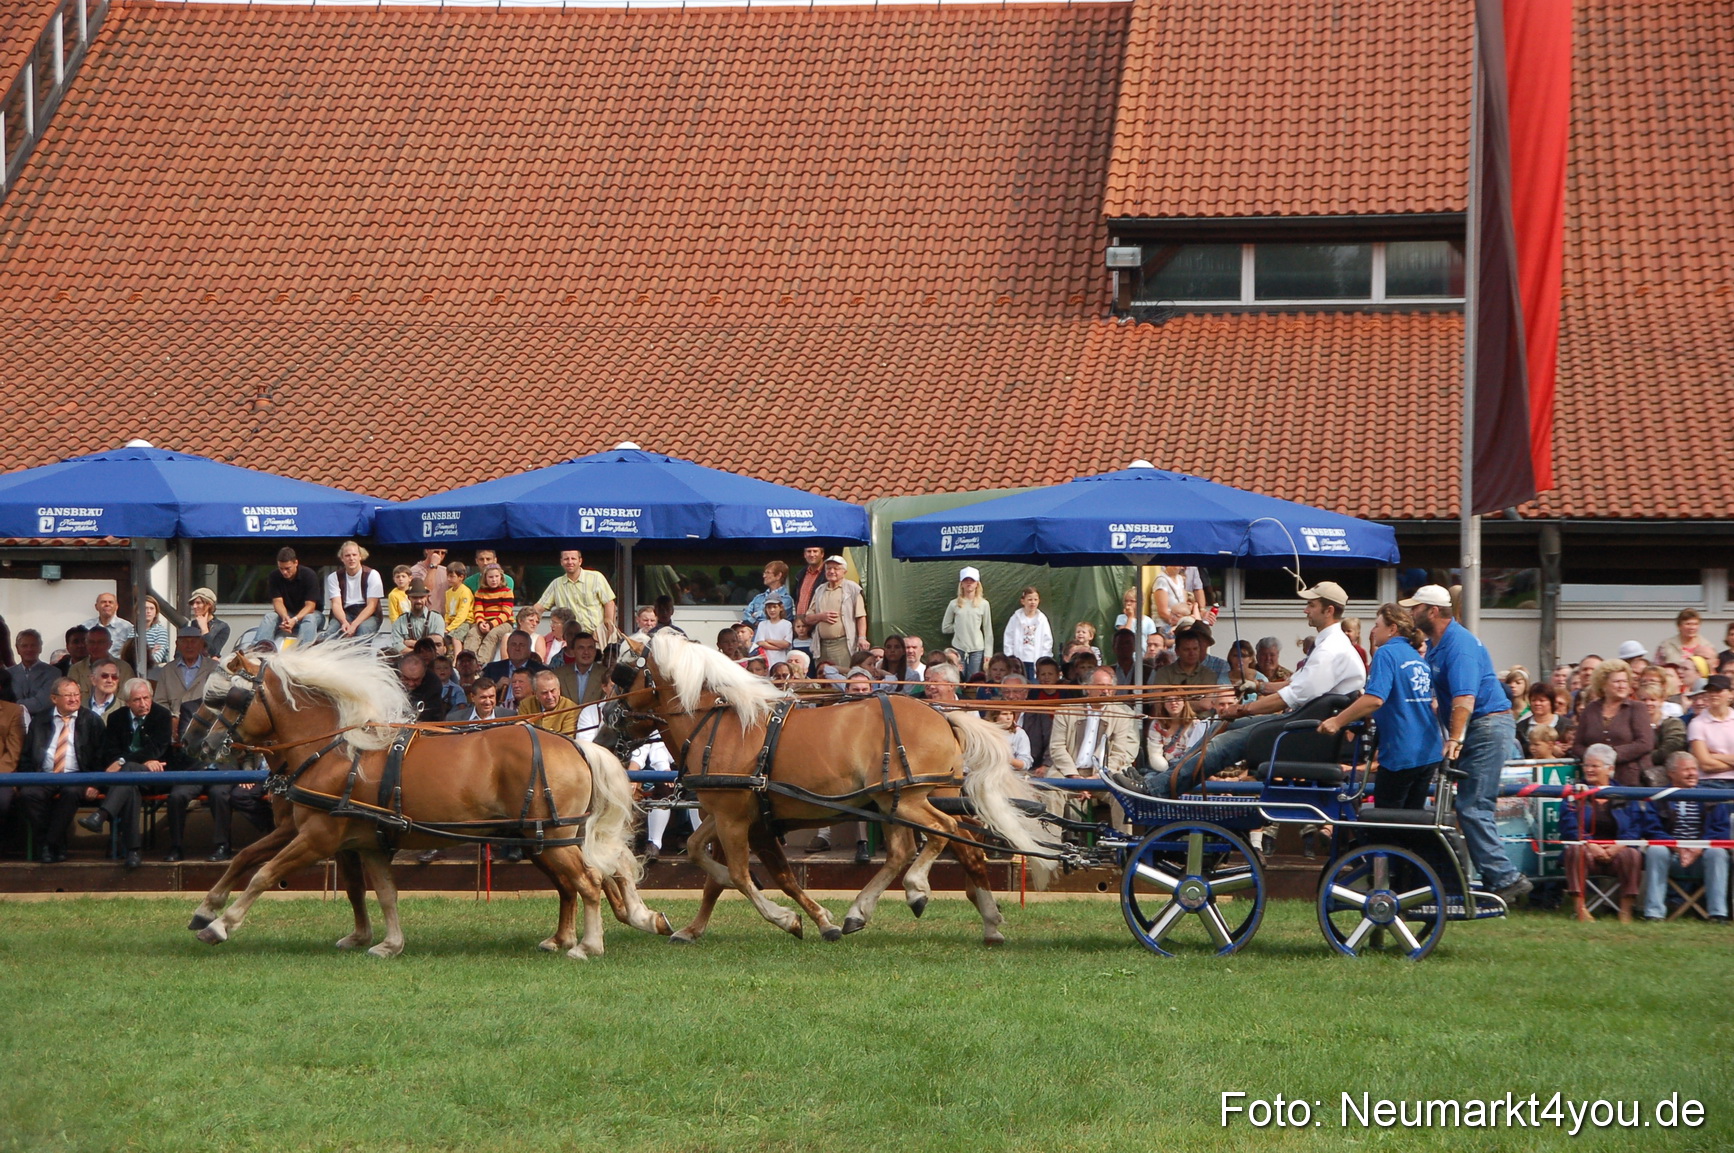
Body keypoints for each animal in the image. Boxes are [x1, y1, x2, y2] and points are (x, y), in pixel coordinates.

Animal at [183, 643, 670, 958]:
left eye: (228, 699)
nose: (198, 744)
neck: (336, 748)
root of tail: (574, 745)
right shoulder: (356, 840)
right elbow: (376, 891)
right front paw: (384, 942)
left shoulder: (318, 835)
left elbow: (264, 873)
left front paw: (220, 924)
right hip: (543, 838)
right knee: (582, 880)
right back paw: (584, 932)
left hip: (552, 837)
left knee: (588, 880)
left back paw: (588, 944)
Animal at [599, 629, 1057, 945]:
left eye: (623, 675)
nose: (603, 729)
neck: (720, 722)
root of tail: (943, 715)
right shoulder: (732, 813)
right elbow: (705, 860)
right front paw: (692, 928)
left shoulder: (735, 818)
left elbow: (745, 876)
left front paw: (792, 918)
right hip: (900, 801)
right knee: (936, 848)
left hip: (909, 800)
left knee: (942, 837)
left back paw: (916, 890)